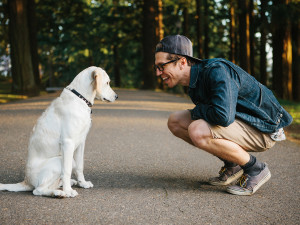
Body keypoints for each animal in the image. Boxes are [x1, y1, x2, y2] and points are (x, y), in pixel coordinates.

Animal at [0, 66, 117, 197]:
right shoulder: (68, 143)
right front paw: (68, 191)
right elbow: (66, 170)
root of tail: (26, 181)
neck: (79, 99)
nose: (117, 96)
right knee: (38, 190)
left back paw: (67, 184)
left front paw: (83, 183)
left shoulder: (81, 142)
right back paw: (59, 193)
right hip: (57, 160)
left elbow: (80, 166)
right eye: (107, 83)